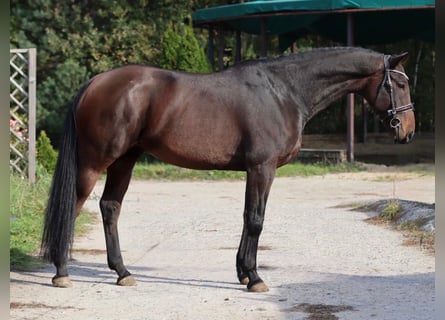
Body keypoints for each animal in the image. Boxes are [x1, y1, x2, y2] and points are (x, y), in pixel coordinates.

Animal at [40, 47, 412, 292]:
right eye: (401, 85)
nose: (407, 131)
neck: (283, 91)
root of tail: (96, 82)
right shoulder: (262, 167)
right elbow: (256, 220)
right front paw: (255, 278)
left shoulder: (254, 170)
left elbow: (248, 217)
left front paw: (244, 273)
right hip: (94, 161)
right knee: (73, 206)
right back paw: (61, 273)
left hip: (125, 160)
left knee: (110, 207)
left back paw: (122, 272)